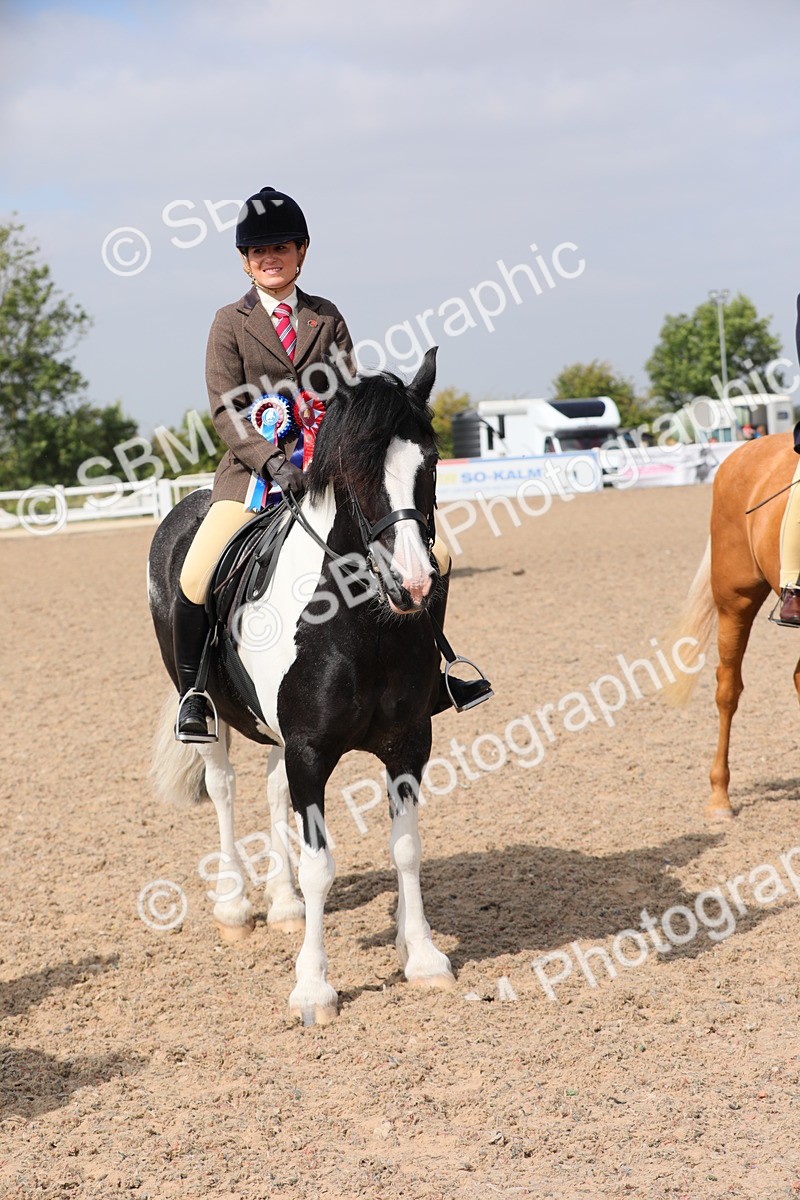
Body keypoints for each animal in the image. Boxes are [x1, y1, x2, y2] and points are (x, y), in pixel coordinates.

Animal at [147, 348, 457, 1024]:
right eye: (354, 473)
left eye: (429, 464)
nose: (415, 585)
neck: (358, 623)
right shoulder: (311, 751)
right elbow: (322, 866)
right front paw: (313, 988)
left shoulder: (407, 743)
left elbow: (407, 847)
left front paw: (421, 956)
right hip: (209, 714)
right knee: (225, 790)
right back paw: (236, 906)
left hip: (275, 733)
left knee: (269, 793)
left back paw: (283, 903)